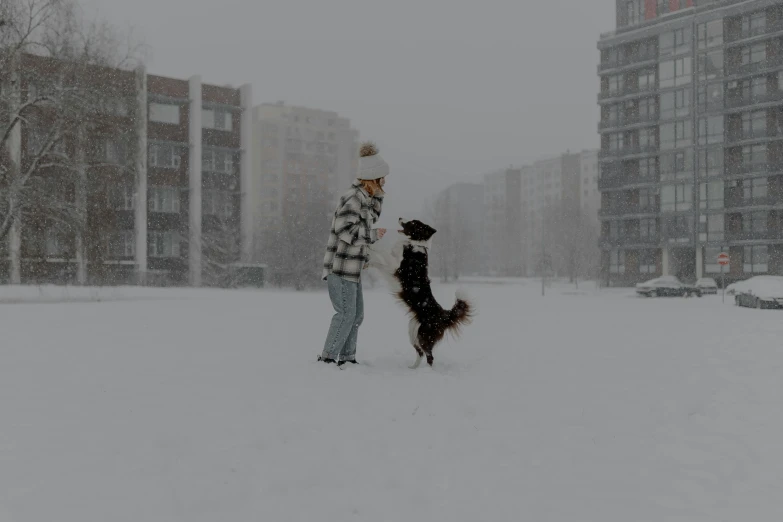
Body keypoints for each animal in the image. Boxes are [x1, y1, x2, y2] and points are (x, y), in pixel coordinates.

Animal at [366, 217, 474, 368]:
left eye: (412, 223)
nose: (400, 217)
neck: (414, 244)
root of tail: (444, 314)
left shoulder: (395, 267)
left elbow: (381, 253)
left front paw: (370, 247)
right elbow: (378, 261)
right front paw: (367, 261)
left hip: (424, 334)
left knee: (429, 356)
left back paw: (428, 371)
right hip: (412, 331)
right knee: (420, 352)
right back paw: (413, 368)